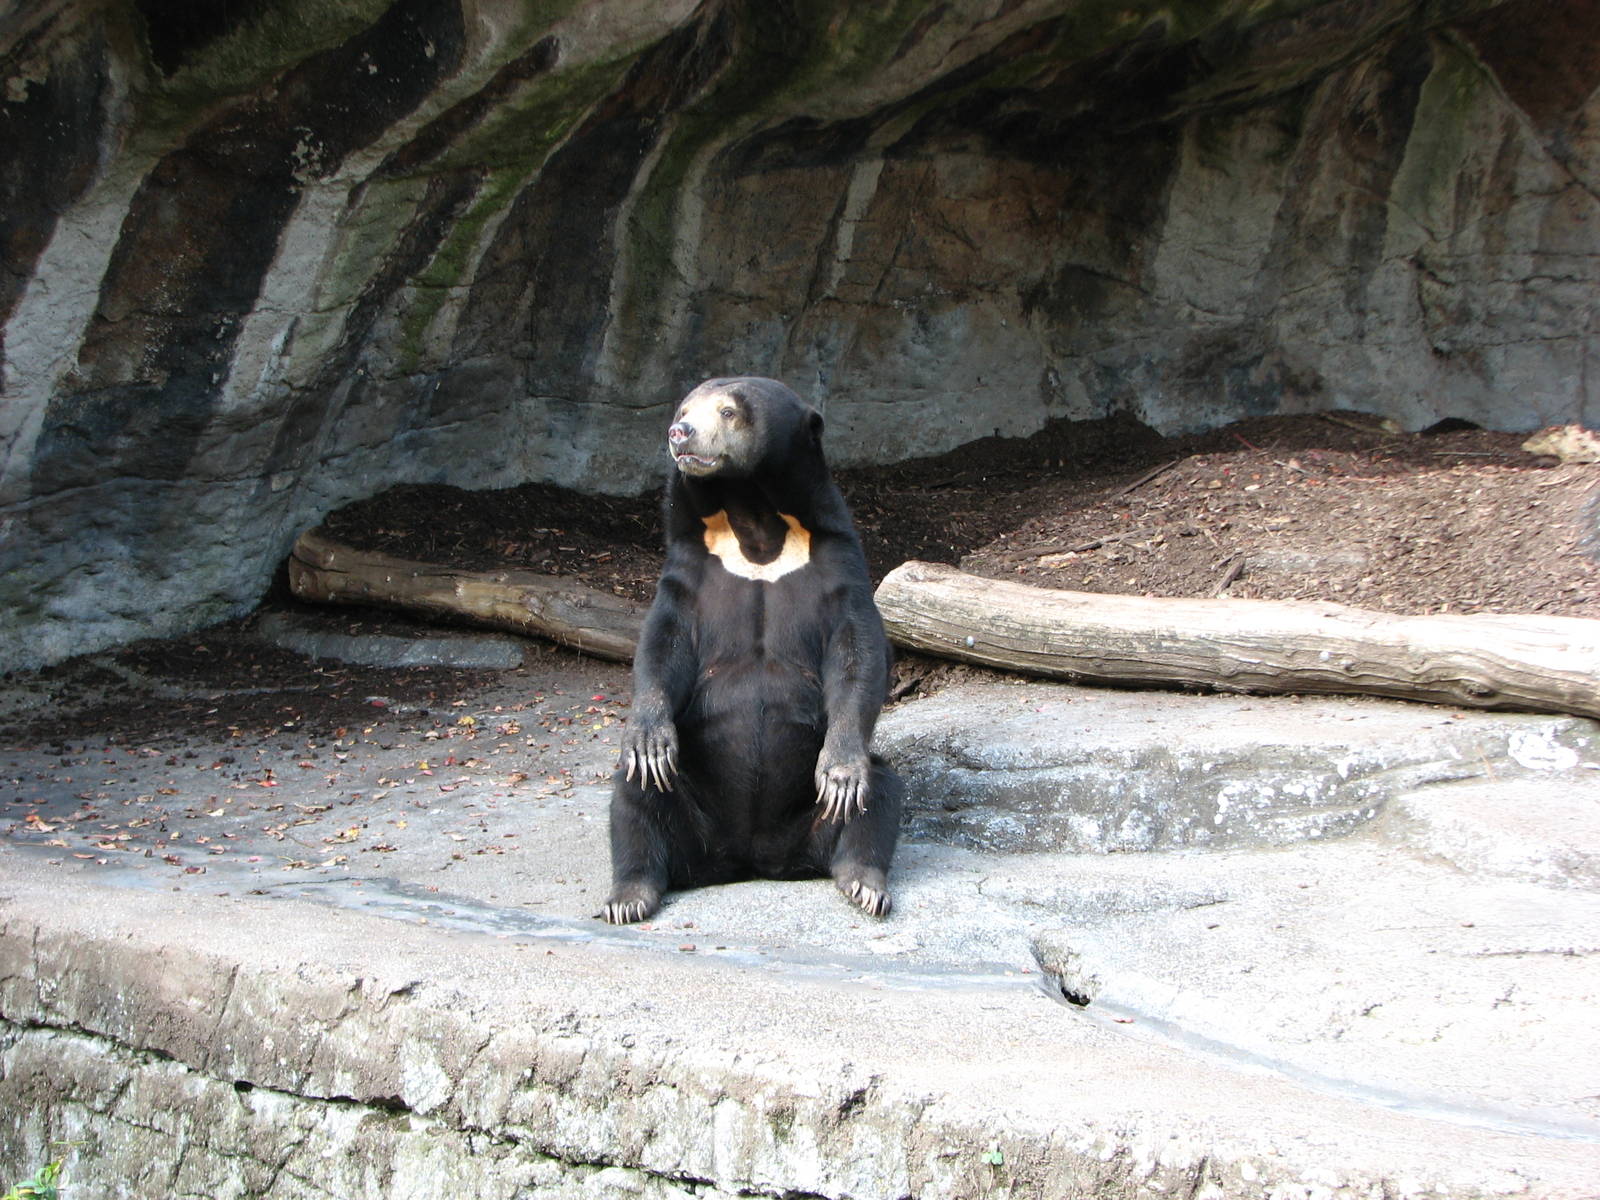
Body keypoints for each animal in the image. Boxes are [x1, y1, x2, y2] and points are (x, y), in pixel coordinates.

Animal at [601, 376, 903, 924]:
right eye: (683, 409)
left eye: (728, 411)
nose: (680, 433)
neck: (755, 519)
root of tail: (751, 857)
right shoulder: (690, 563)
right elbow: (662, 641)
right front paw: (650, 738)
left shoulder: (837, 559)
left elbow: (858, 649)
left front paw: (840, 772)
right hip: (689, 808)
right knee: (635, 795)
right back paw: (629, 895)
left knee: (880, 794)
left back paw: (863, 882)